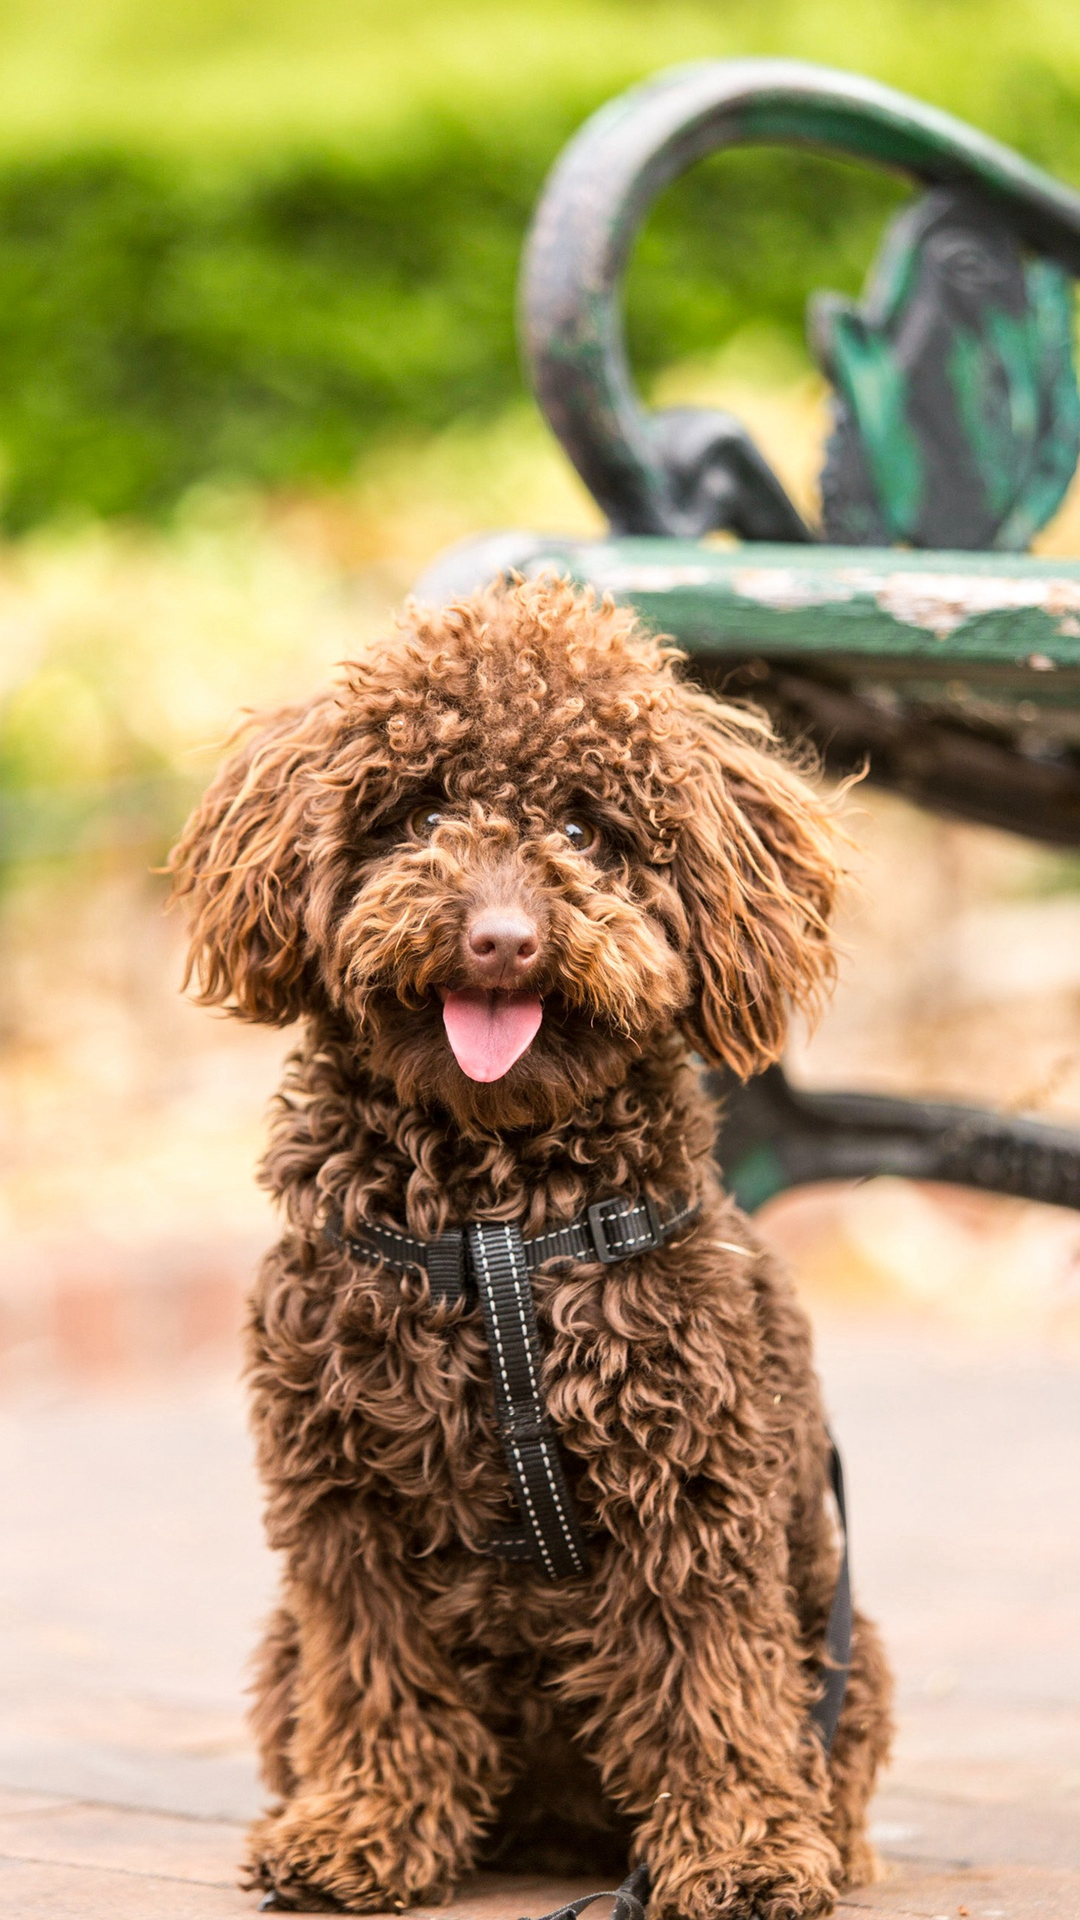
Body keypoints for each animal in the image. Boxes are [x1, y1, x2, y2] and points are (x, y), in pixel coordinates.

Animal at [170, 576, 891, 1912]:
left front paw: (744, 1852)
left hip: (844, 1632)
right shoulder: (344, 1513)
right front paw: (363, 1829)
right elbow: (380, 1680)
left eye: (586, 827)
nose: (499, 937)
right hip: (283, 1646)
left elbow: (713, 1687)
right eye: (420, 813)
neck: (493, 1224)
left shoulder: (691, 1494)